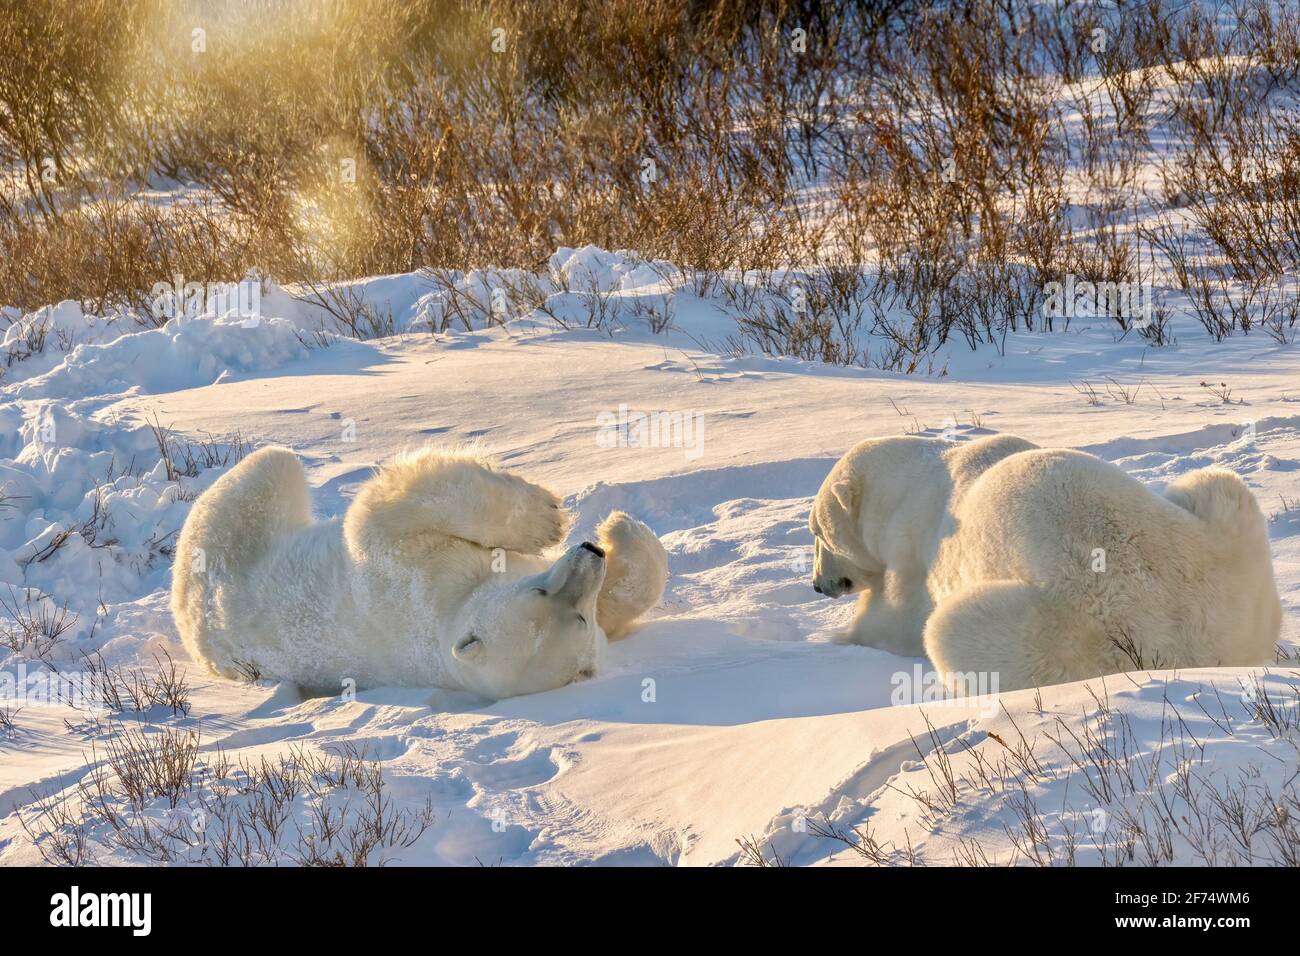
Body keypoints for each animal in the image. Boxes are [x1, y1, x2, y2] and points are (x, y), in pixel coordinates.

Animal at [170, 444, 670, 697]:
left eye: (579, 618)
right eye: (540, 595)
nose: (592, 552)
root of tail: (195, 636)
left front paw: (619, 530)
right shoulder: (415, 580)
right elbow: (378, 521)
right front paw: (550, 517)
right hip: (229, 543)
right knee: (272, 464)